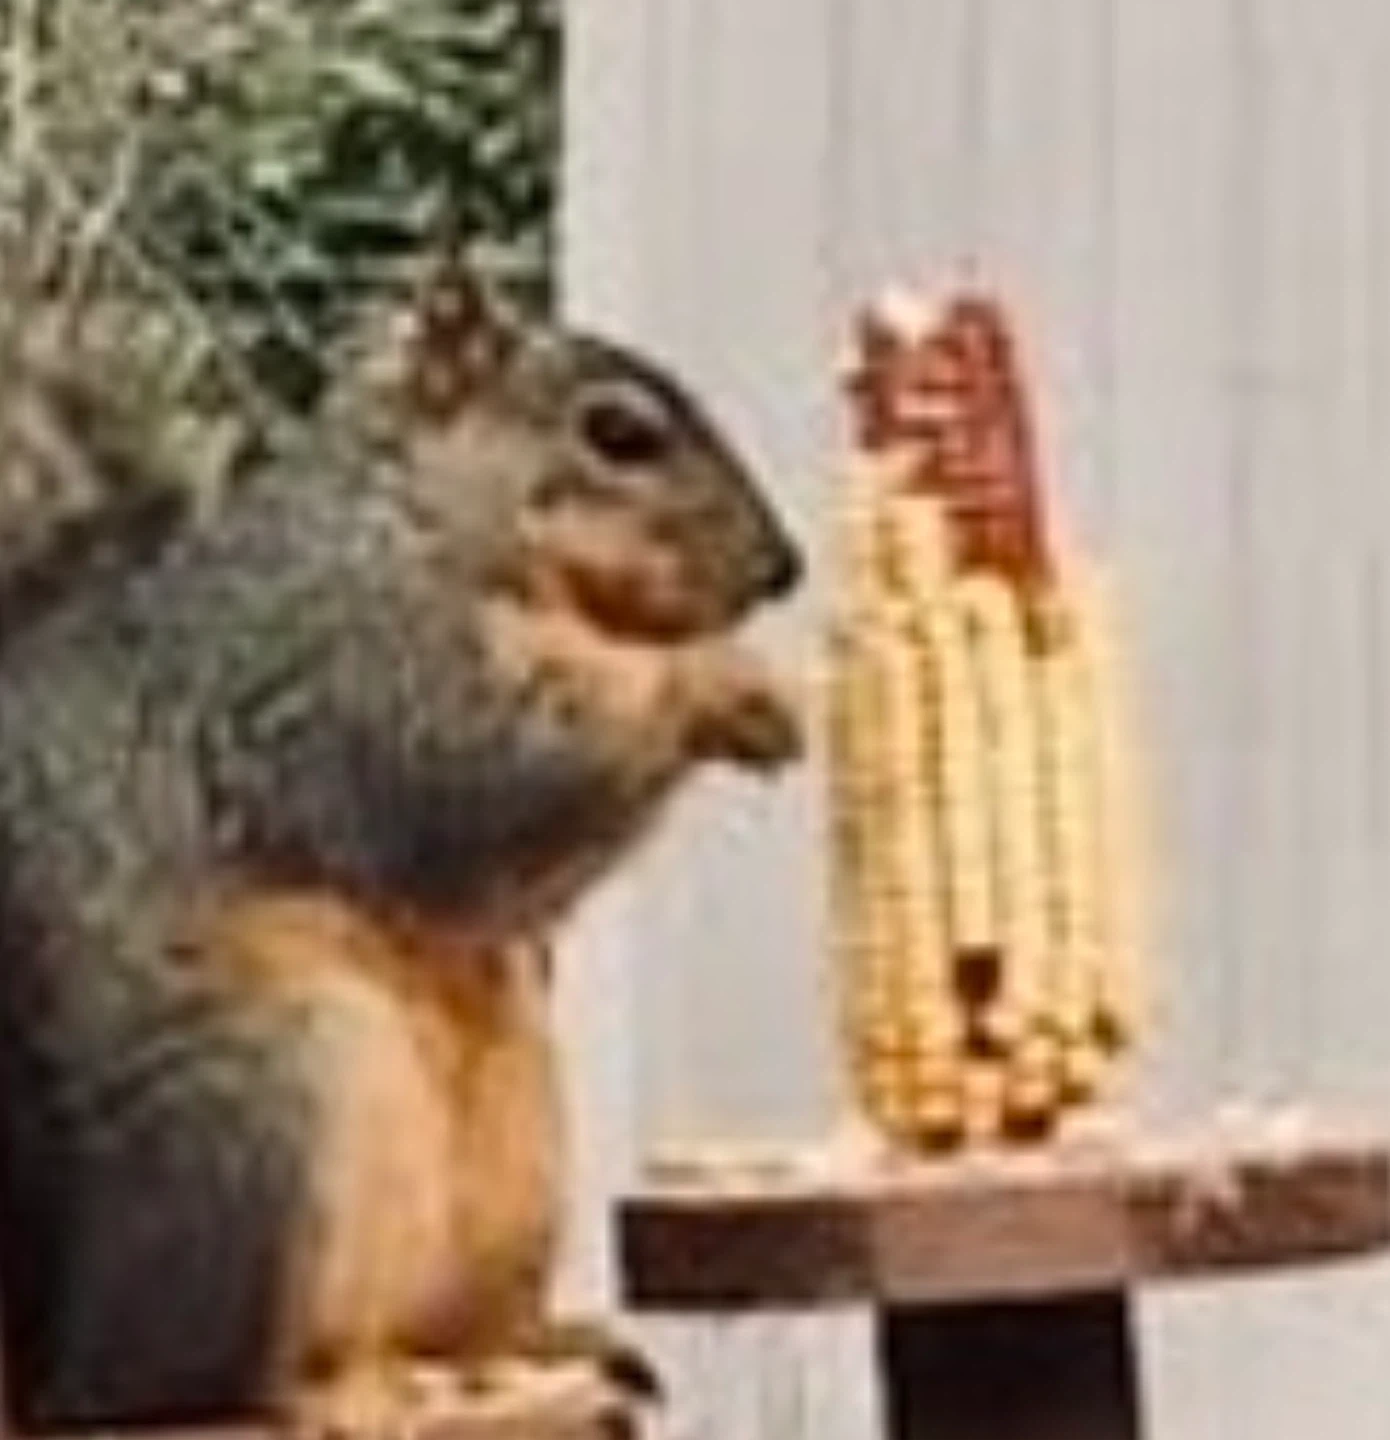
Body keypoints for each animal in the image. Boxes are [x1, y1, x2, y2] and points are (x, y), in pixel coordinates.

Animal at [0, 254, 804, 1435]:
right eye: (617, 433)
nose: (784, 569)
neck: (420, 522)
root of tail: (58, 1359)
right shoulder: (348, 678)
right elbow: (482, 782)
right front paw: (717, 681)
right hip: (259, 1107)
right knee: (191, 1387)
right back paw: (318, 1397)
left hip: (517, 1155)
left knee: (447, 1327)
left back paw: (536, 1345)